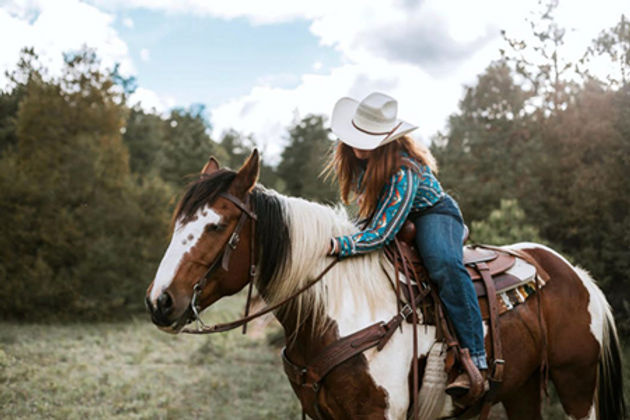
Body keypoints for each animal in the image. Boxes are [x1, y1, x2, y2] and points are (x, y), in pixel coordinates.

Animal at [147, 151, 628, 420]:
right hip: (523, 388)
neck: (336, 312)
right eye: (178, 222)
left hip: (576, 382)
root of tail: (575, 274)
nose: (160, 302)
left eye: (216, 226)